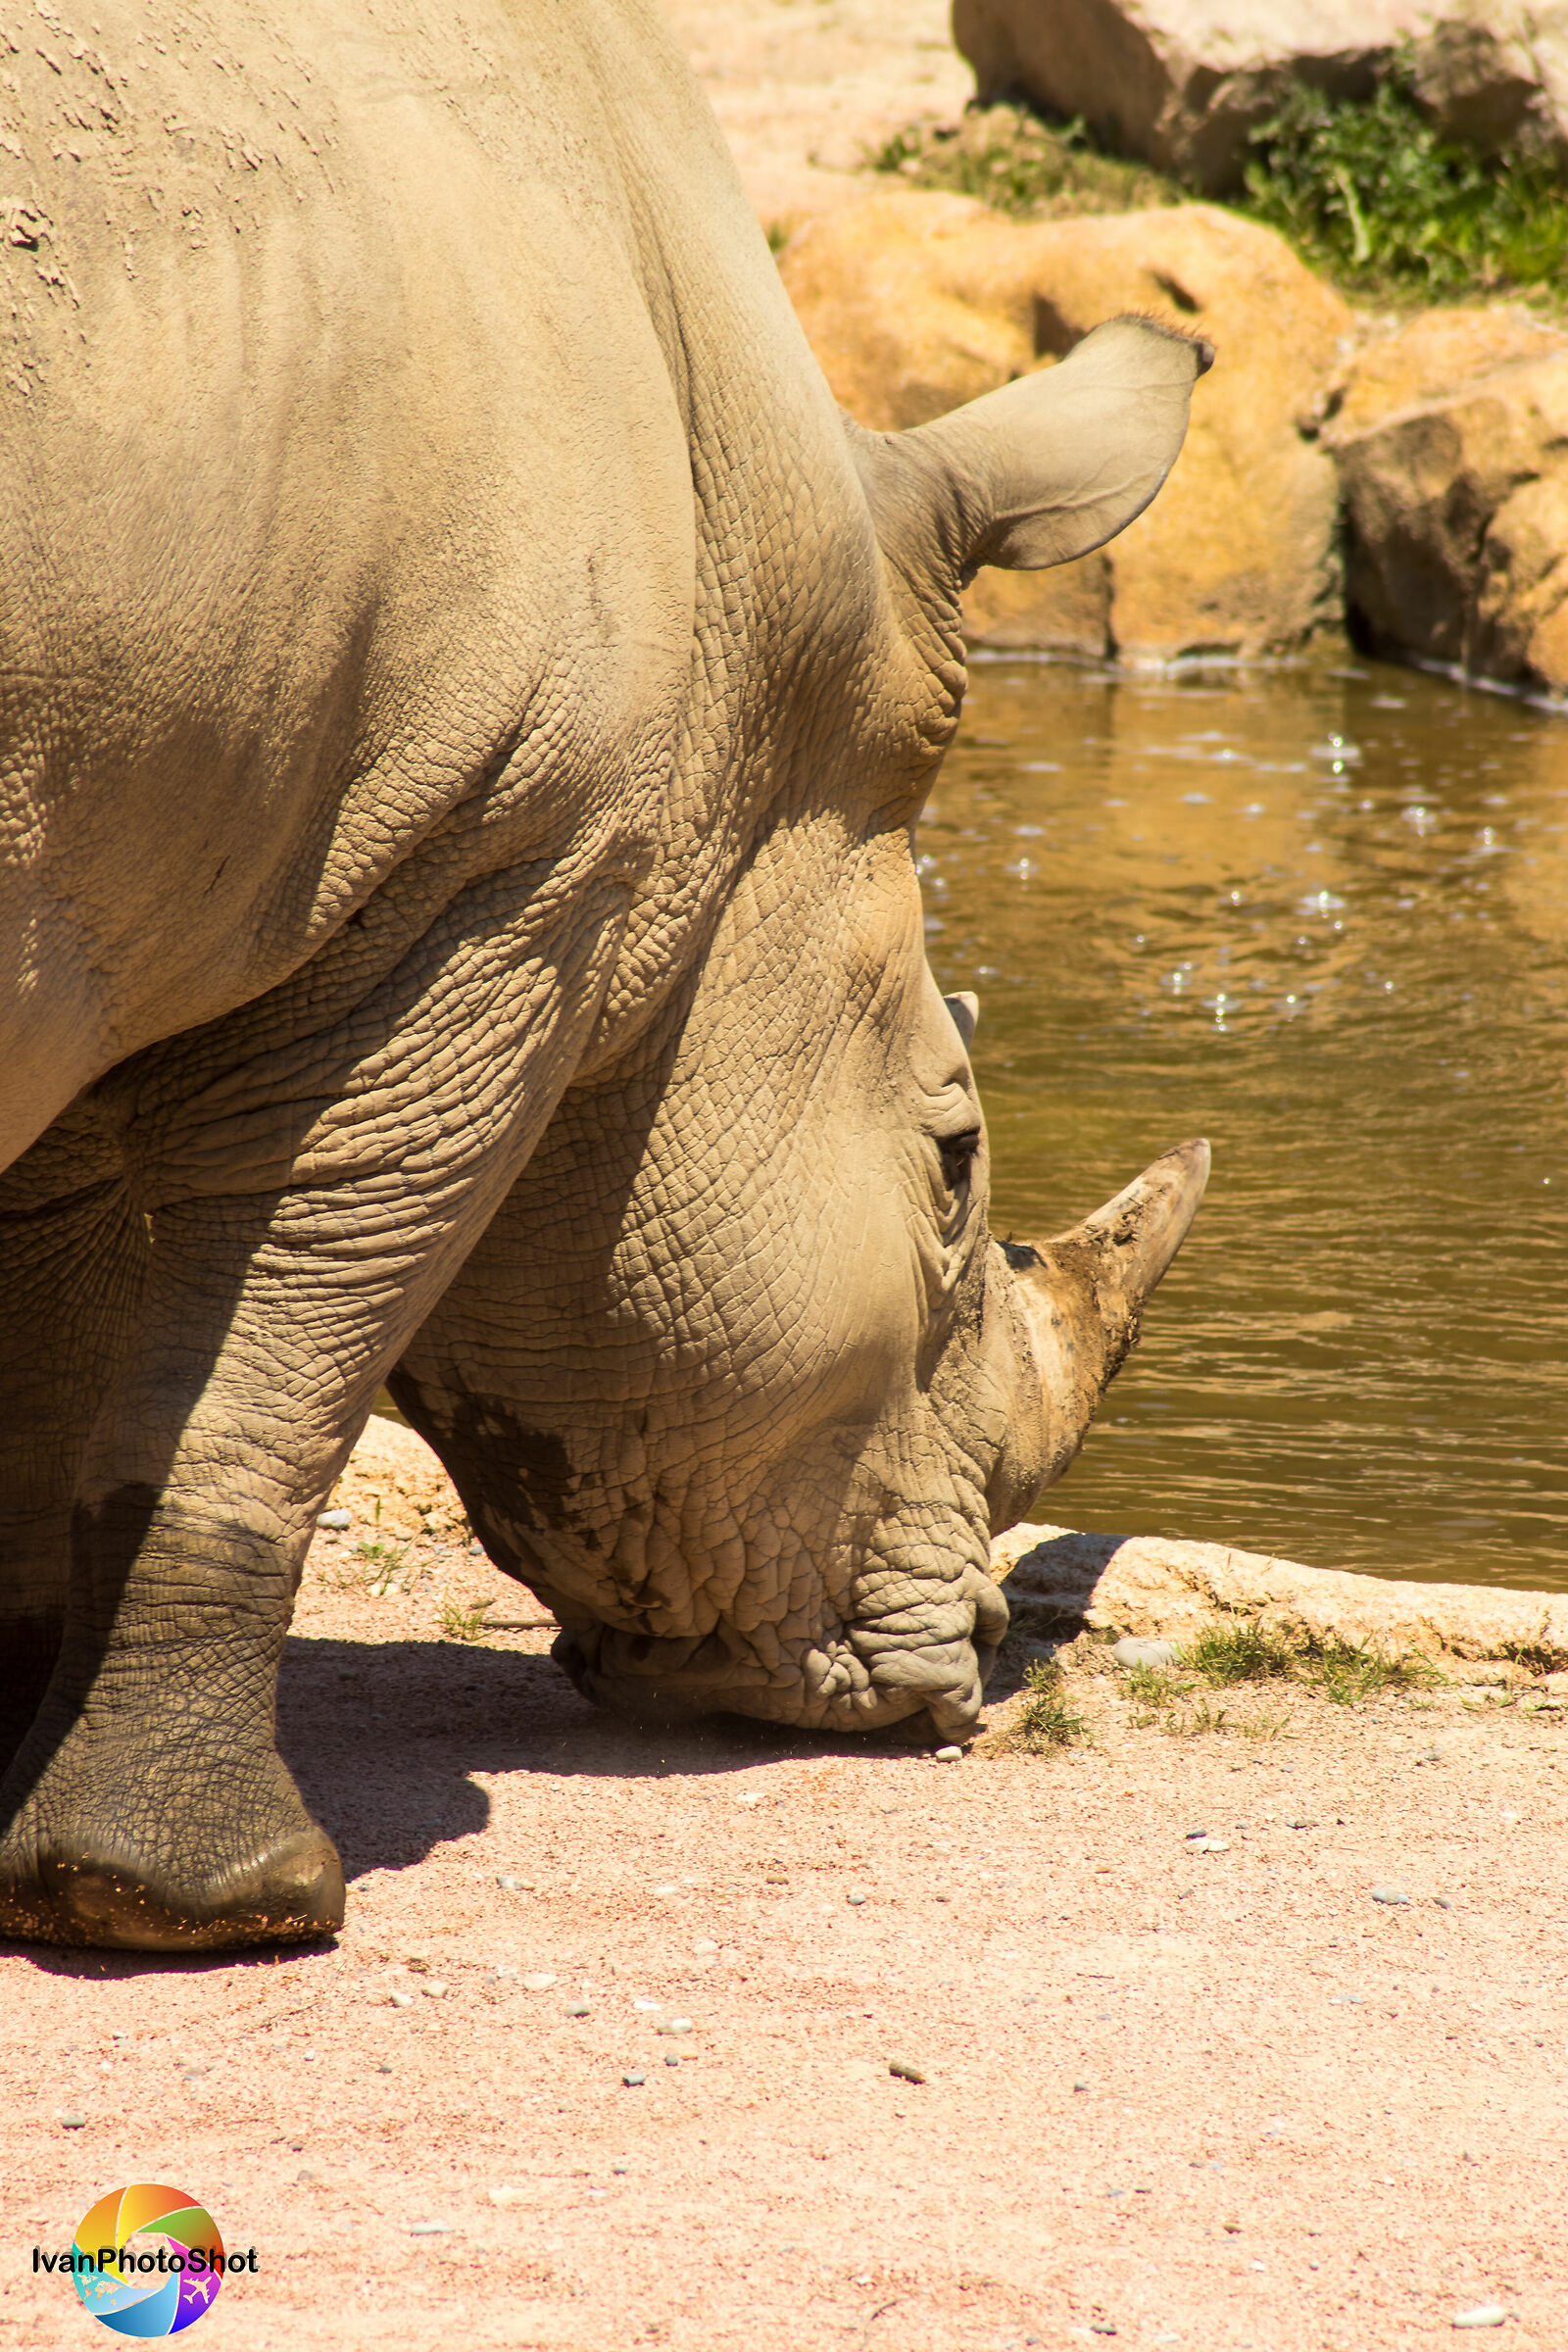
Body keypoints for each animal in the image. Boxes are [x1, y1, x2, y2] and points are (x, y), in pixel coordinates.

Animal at [0, 0, 1210, 1952]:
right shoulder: (484, 883)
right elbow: (274, 1352)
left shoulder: (133, 869)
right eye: (952, 1165)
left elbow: (58, 1339)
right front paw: (198, 1902)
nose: (967, 1668)